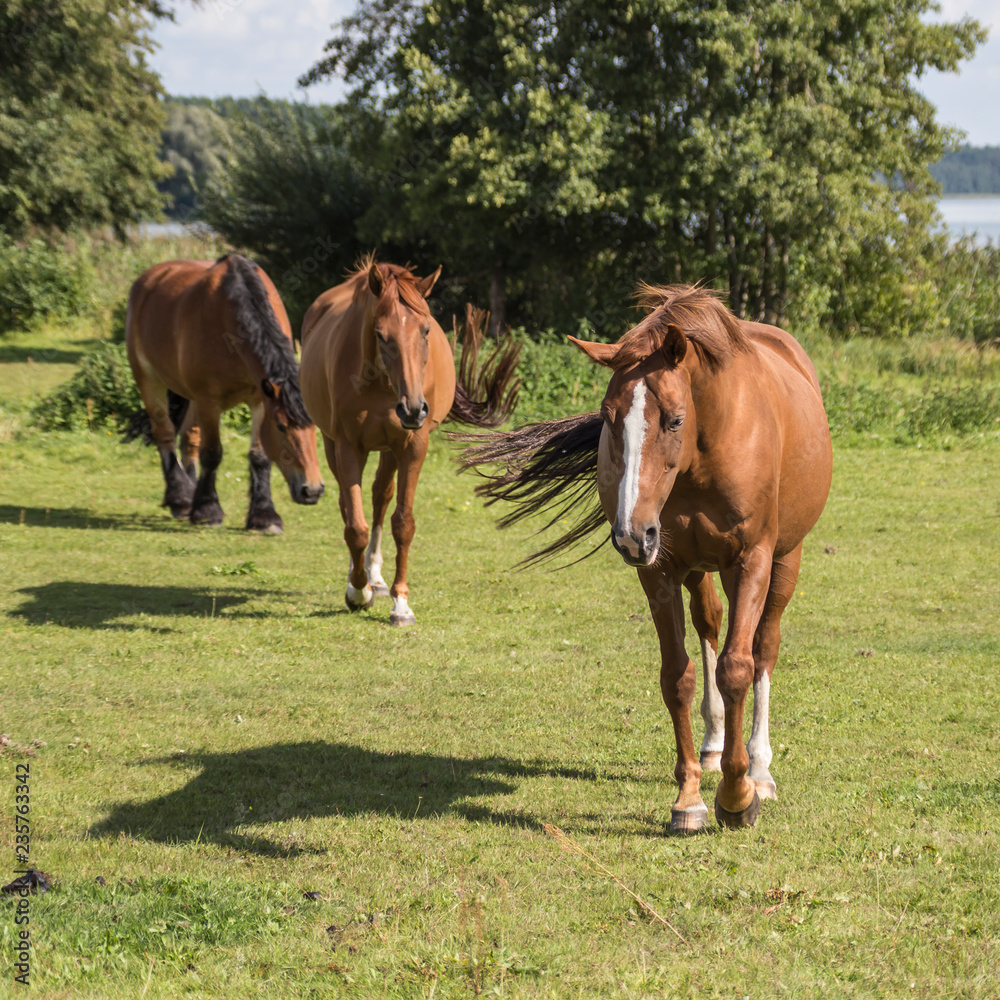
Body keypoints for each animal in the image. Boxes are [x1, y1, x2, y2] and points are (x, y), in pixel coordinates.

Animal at [126, 254, 324, 532]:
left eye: (316, 426)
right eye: (282, 427)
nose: (312, 490)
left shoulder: (260, 400)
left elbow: (260, 456)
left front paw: (264, 516)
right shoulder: (209, 402)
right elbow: (212, 454)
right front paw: (208, 510)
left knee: (188, 439)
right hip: (149, 380)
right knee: (165, 435)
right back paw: (181, 499)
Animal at [300, 258, 520, 624]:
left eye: (426, 330)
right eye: (380, 334)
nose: (414, 408)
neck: (381, 383)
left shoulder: (412, 447)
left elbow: (402, 523)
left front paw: (400, 603)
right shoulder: (348, 447)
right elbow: (355, 526)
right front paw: (357, 592)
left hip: (391, 449)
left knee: (380, 495)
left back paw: (375, 577)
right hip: (336, 446)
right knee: (350, 504)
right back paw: (361, 578)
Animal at [464, 286, 832, 832]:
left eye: (675, 419)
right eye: (608, 417)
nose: (631, 534)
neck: (704, 455)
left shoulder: (752, 561)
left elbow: (738, 668)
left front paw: (737, 795)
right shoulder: (660, 570)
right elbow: (677, 676)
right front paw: (690, 798)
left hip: (785, 560)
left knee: (764, 647)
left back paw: (760, 768)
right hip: (699, 569)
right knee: (709, 624)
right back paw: (714, 744)